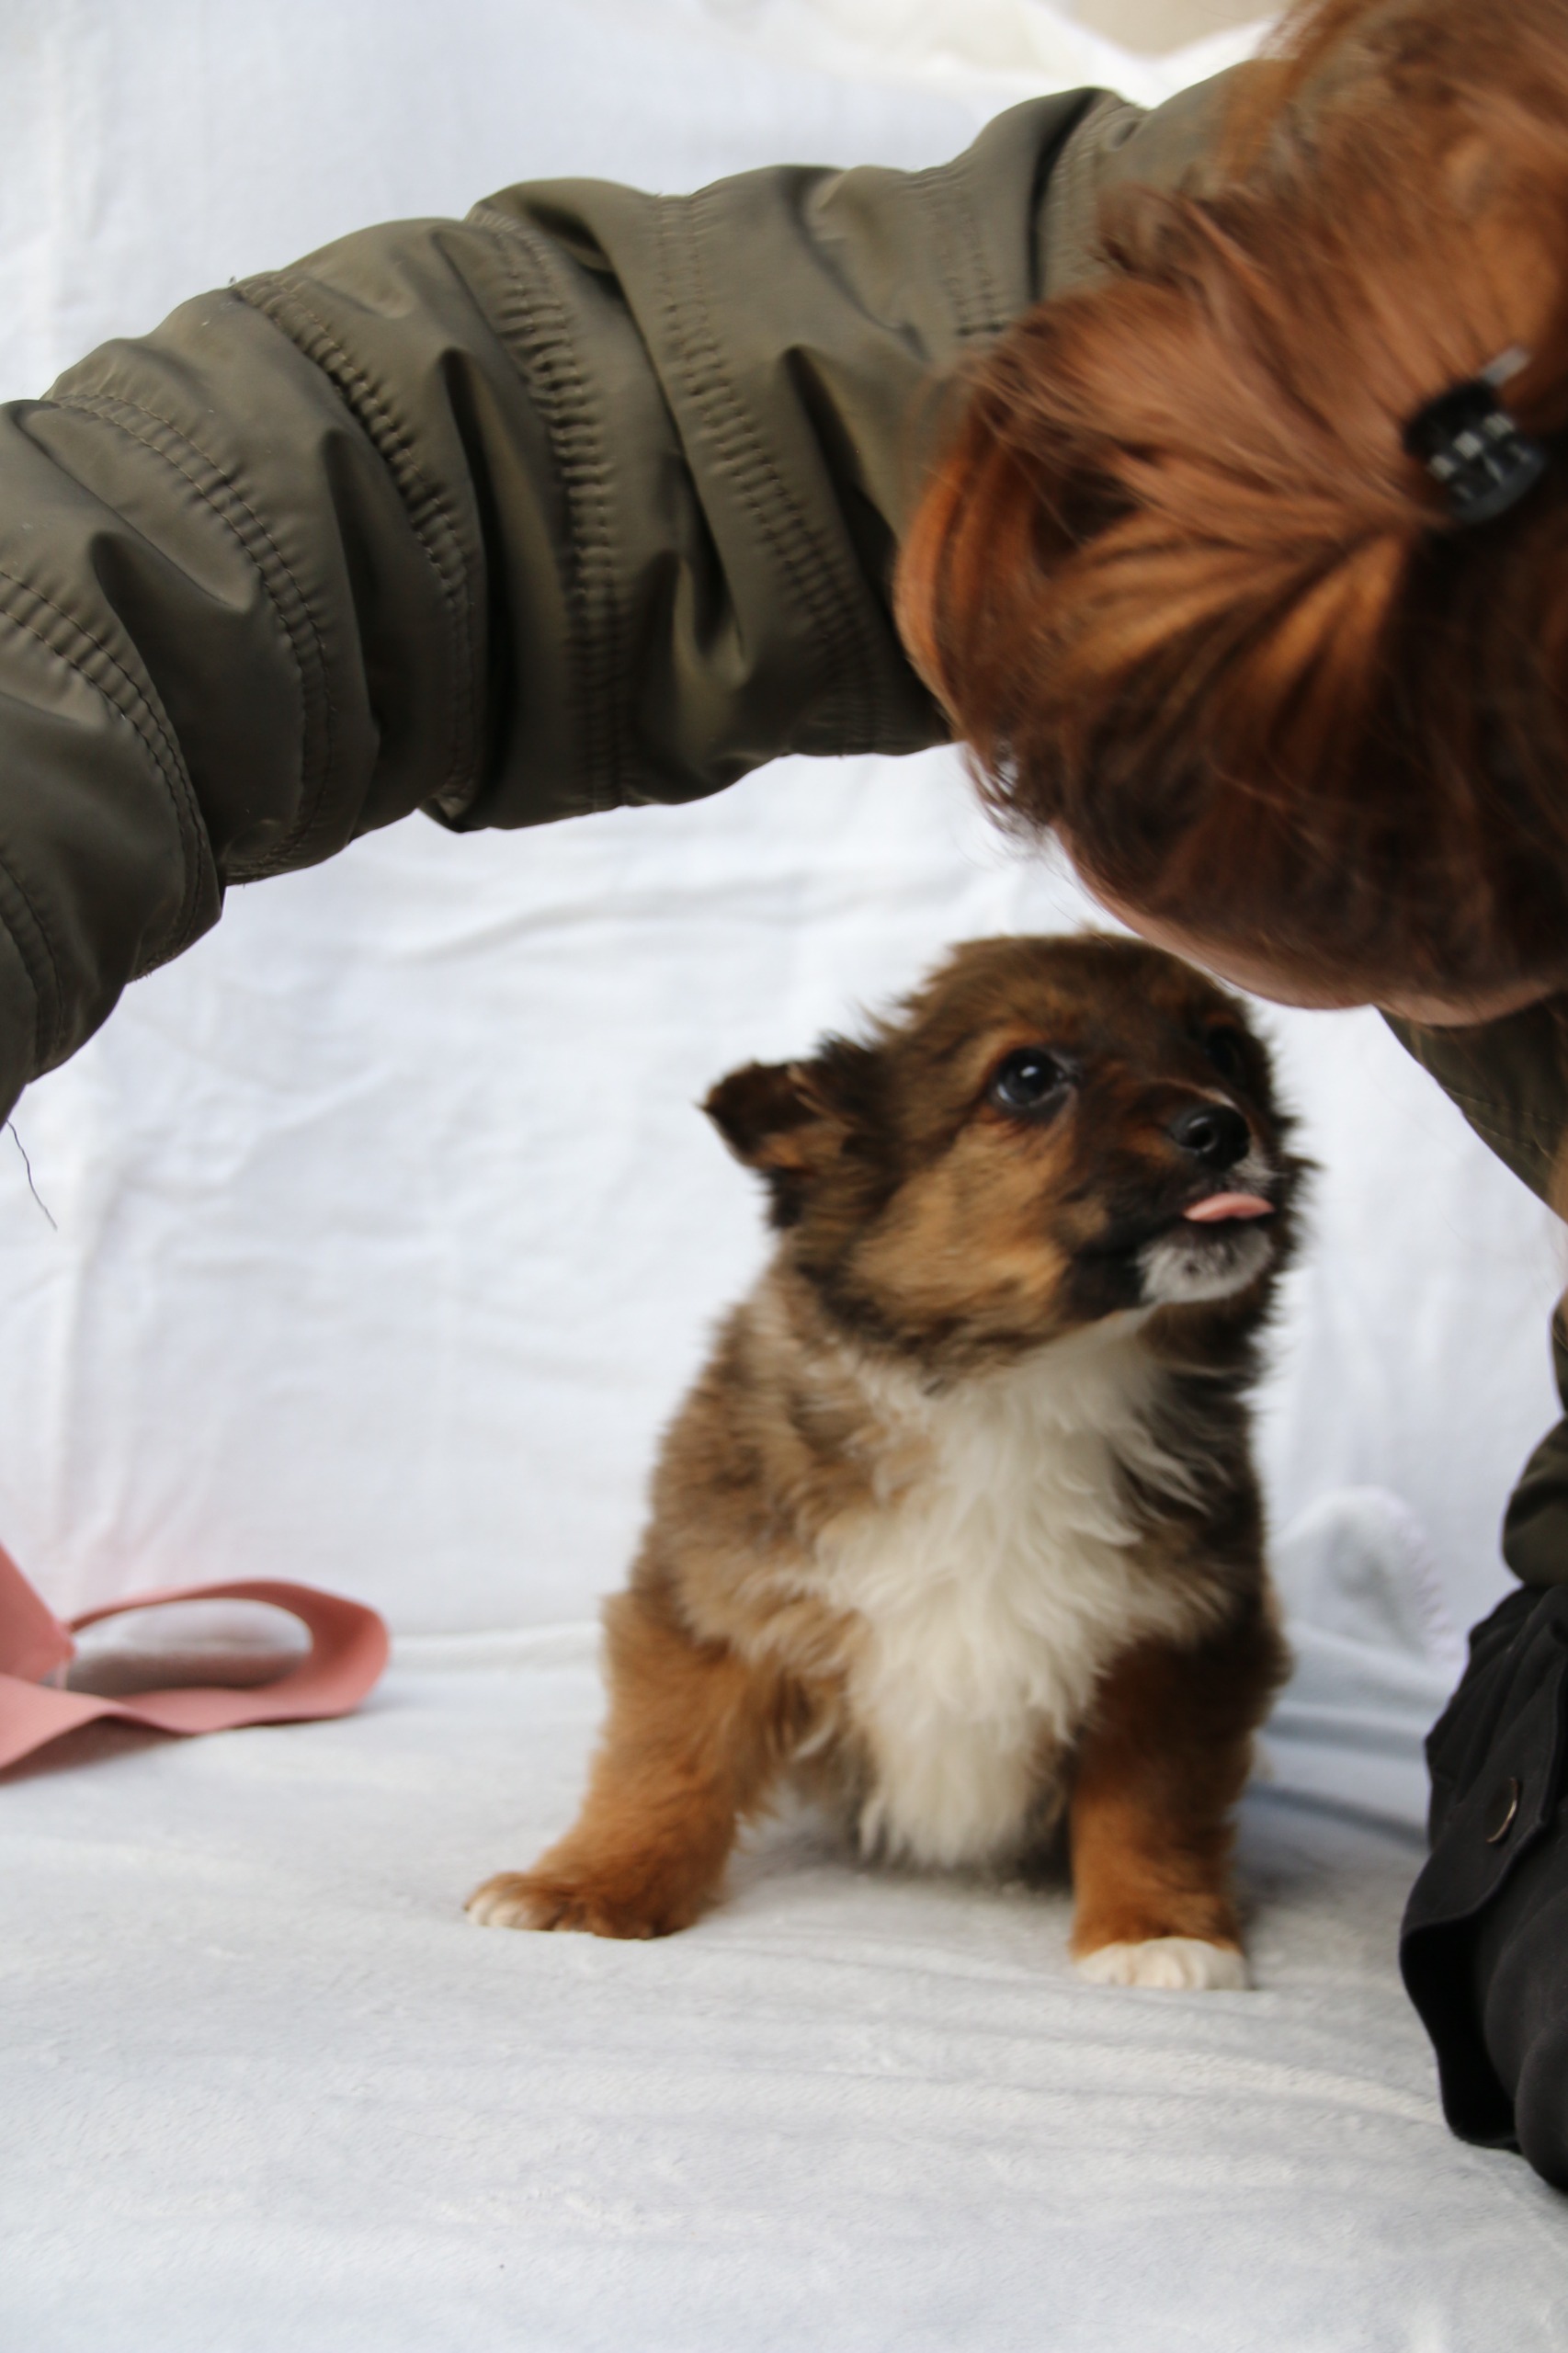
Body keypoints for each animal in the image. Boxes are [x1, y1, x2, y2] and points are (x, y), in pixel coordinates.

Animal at [469, 935, 1303, 1988]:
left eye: (1225, 1050)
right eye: (1028, 1077)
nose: (1222, 1126)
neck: (1026, 1386)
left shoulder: (1178, 1638)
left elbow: (1151, 1799)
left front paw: (1154, 1929)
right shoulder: (711, 1595)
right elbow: (666, 1756)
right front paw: (590, 1886)